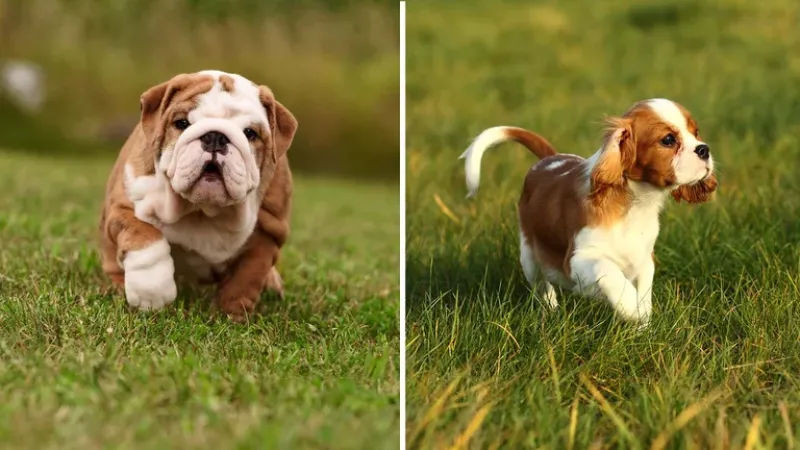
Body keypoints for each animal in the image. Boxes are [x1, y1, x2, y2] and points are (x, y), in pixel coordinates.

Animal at [99, 70, 298, 320]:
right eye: (182, 123)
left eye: (250, 133)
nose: (215, 137)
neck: (202, 210)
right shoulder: (124, 207)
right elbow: (146, 236)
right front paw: (152, 293)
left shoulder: (268, 232)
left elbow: (245, 278)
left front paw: (229, 316)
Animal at [462, 98, 720, 326]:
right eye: (668, 140)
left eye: (696, 132)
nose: (704, 149)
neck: (635, 204)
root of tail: (549, 159)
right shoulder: (577, 259)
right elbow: (607, 270)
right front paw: (630, 307)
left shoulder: (644, 259)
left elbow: (644, 293)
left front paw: (642, 326)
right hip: (529, 256)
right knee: (543, 285)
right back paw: (551, 312)